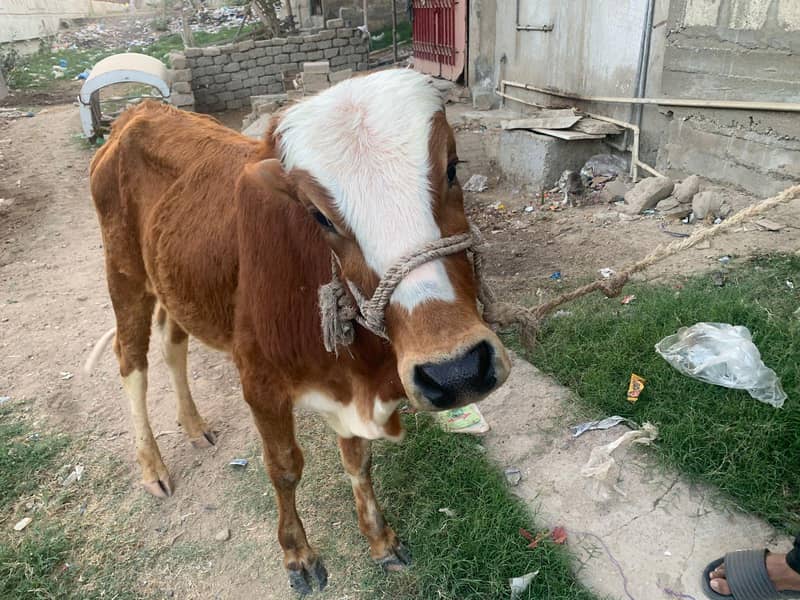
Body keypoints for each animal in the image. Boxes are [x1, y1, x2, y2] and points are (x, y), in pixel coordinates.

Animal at [86, 68, 511, 595]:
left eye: (452, 167)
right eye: (319, 216)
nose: (457, 371)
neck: (364, 374)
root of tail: (138, 111)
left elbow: (358, 460)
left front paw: (380, 539)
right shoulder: (259, 383)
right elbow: (285, 468)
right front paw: (298, 555)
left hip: (175, 284)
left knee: (172, 343)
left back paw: (195, 425)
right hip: (123, 275)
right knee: (132, 361)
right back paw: (153, 465)